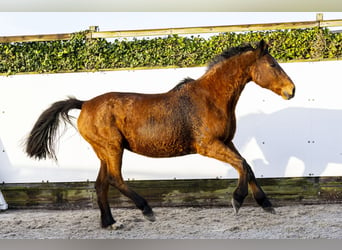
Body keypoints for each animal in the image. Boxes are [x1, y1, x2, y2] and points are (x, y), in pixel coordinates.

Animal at [26, 39, 294, 229]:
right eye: (273, 64)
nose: (292, 90)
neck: (211, 98)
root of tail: (85, 104)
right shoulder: (208, 145)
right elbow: (243, 165)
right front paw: (237, 200)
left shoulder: (227, 142)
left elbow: (247, 166)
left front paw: (266, 204)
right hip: (113, 148)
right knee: (115, 179)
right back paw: (146, 210)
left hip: (103, 151)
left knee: (101, 183)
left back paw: (110, 223)